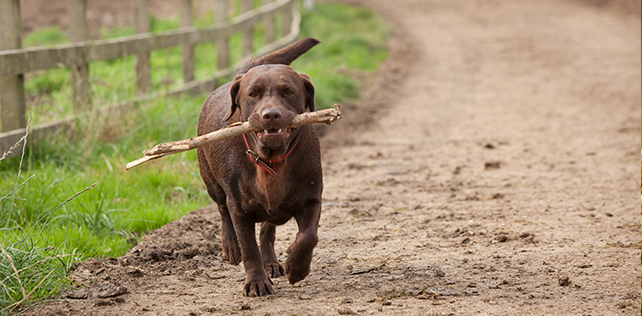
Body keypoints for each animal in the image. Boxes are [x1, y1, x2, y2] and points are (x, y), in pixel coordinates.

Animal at [195, 37, 322, 296]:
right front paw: (256, 282)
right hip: (212, 183)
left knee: (266, 230)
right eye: (252, 93)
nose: (270, 115)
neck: (272, 161)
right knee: (223, 210)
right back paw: (231, 247)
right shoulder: (240, 208)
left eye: (289, 91)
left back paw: (271, 263)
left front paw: (296, 266)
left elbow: (308, 237)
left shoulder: (312, 198)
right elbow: (249, 248)